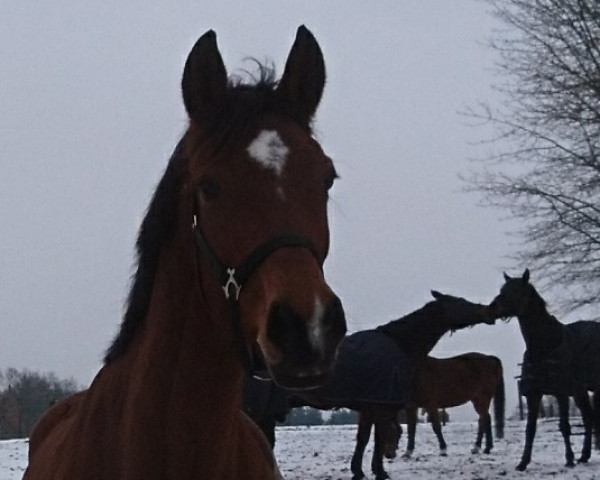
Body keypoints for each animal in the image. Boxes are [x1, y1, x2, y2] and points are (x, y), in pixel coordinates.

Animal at [246, 288, 494, 480]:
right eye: (460, 303)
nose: (487, 312)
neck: (399, 342)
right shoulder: (382, 406)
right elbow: (379, 438)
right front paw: (380, 471)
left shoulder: (368, 406)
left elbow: (363, 439)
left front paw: (359, 471)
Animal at [488, 270, 600, 472]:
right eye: (503, 289)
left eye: (518, 290)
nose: (494, 307)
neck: (544, 345)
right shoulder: (533, 394)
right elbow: (530, 429)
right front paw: (523, 462)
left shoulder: (561, 393)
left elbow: (564, 426)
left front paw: (569, 460)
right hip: (580, 392)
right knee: (589, 417)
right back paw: (584, 456)